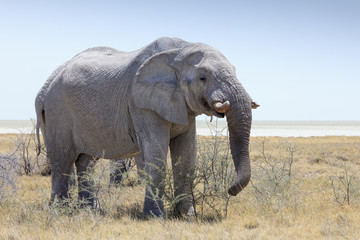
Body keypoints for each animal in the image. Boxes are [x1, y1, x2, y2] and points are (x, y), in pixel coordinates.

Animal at [35, 36, 256, 217]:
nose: (229, 190)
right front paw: (155, 216)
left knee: (85, 162)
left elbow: (186, 156)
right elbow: (156, 152)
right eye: (203, 78)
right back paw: (61, 211)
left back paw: (91, 210)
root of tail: (47, 85)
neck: (180, 50)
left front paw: (187, 215)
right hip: (58, 111)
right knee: (63, 159)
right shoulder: (140, 103)